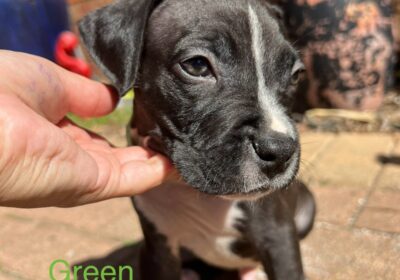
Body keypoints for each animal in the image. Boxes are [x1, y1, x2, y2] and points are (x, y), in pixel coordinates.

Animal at [78, 0, 316, 280]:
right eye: (197, 65)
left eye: (296, 75)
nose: (280, 150)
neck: (191, 190)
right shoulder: (158, 249)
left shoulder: (278, 238)